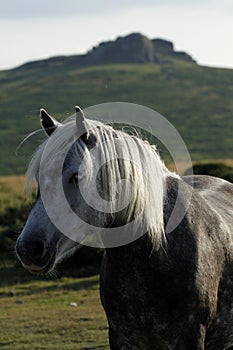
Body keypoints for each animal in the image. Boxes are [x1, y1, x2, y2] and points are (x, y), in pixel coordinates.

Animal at [15, 106, 233, 350]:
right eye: (38, 176)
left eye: (76, 177)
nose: (28, 248)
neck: (152, 253)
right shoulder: (120, 337)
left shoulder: (191, 337)